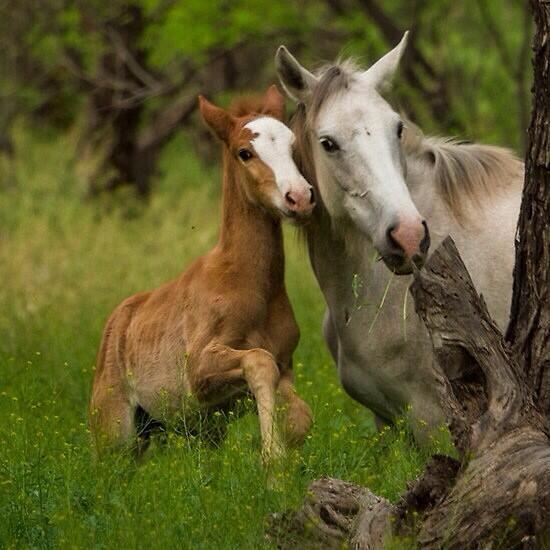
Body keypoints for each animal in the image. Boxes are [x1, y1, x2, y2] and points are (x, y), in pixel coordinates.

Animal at [90, 86, 314, 464]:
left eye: (292, 145)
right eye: (245, 152)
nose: (299, 198)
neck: (252, 287)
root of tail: (116, 322)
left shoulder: (285, 366)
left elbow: (300, 415)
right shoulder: (199, 371)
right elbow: (258, 361)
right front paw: (272, 461)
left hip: (193, 431)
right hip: (115, 434)